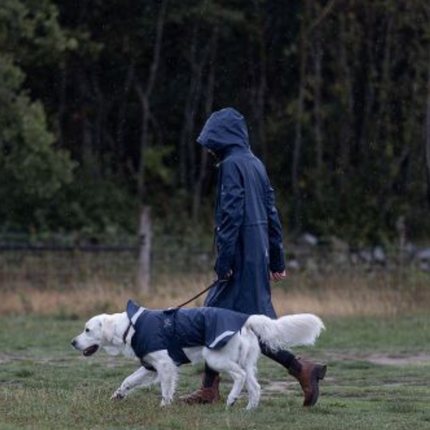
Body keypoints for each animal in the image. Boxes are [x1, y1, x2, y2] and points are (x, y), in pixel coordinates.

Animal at [72, 300, 324, 408]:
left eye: (87, 330)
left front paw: (164, 406)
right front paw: (117, 396)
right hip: (246, 362)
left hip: (216, 358)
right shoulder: (150, 367)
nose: (73, 342)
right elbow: (127, 380)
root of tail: (246, 319)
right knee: (255, 386)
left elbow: (166, 389)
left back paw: (232, 399)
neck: (130, 327)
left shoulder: (164, 364)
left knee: (240, 377)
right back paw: (249, 409)